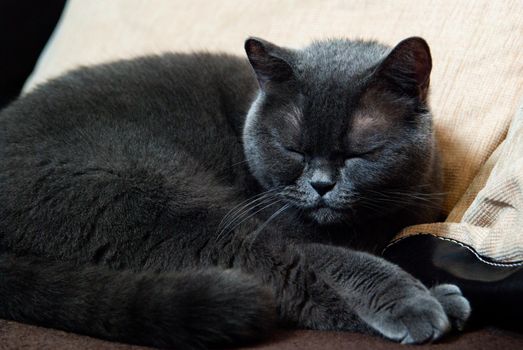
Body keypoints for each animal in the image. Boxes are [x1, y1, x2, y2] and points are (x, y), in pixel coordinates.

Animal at [0, 37, 470, 348]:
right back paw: (432, 304)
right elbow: (333, 258)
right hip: (152, 198)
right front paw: (416, 299)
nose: (321, 185)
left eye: (360, 153)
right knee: (288, 275)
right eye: (292, 148)